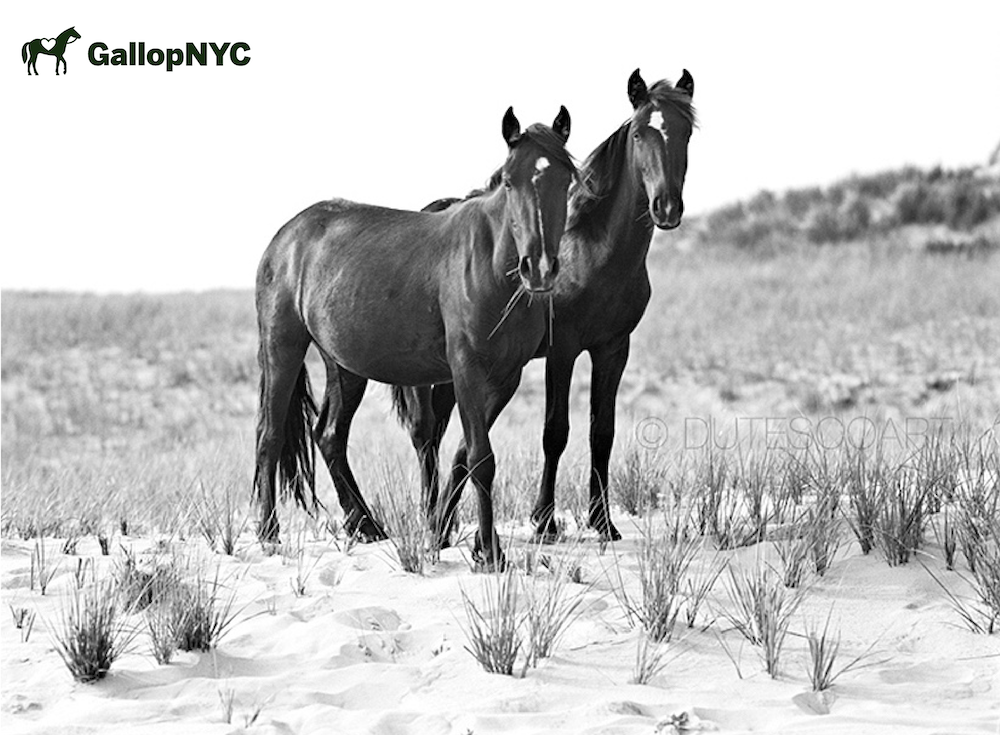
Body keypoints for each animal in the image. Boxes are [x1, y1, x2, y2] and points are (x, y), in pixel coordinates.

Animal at [253, 106, 575, 570]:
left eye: (566, 179)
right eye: (510, 181)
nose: (540, 268)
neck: (491, 266)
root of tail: (286, 236)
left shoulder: (505, 378)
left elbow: (465, 456)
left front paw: (466, 540)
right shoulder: (466, 370)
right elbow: (481, 458)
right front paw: (490, 551)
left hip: (345, 366)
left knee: (330, 436)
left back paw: (367, 525)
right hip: (282, 347)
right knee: (271, 434)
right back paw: (268, 533)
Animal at [392, 68, 696, 543]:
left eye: (686, 132)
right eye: (641, 132)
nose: (666, 207)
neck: (593, 251)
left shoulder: (613, 349)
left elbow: (601, 431)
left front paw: (603, 522)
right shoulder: (563, 350)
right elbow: (555, 432)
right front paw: (545, 522)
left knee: (442, 435)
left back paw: (444, 520)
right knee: (426, 435)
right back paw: (431, 520)